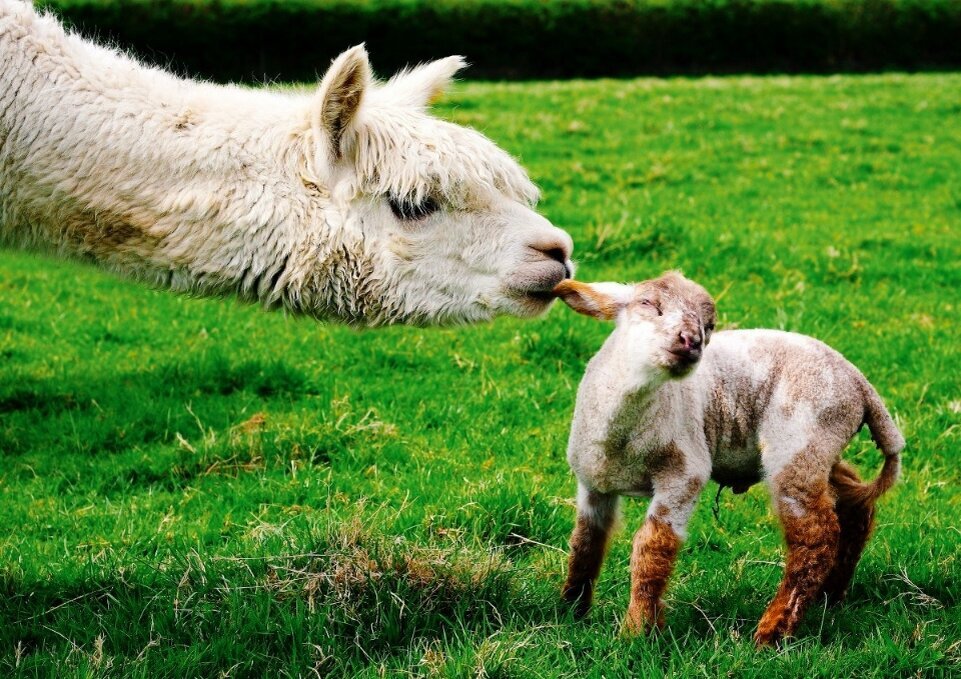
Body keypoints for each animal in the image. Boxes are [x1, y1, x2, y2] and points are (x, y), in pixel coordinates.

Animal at [552, 272, 904, 648]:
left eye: (709, 327)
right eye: (648, 304)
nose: (691, 341)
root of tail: (860, 383)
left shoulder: (685, 472)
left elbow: (652, 547)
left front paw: (637, 630)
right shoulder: (593, 483)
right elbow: (585, 542)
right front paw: (572, 609)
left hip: (799, 443)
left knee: (816, 537)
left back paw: (773, 632)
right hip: (820, 449)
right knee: (853, 503)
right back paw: (830, 596)